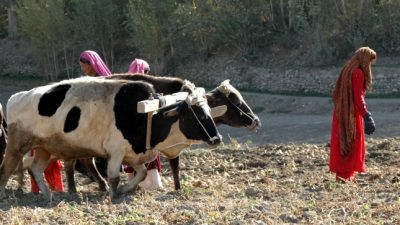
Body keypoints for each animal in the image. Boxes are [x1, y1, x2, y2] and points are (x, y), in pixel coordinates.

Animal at [0, 76, 220, 200]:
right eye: (198, 115)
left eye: (209, 111)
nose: (217, 139)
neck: (148, 113)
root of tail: (16, 96)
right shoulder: (116, 151)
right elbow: (114, 176)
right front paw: (114, 194)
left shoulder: (133, 153)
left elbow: (141, 173)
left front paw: (124, 189)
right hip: (17, 145)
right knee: (7, 168)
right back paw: (4, 193)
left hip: (44, 148)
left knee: (35, 168)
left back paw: (47, 194)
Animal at [69, 74, 260, 191]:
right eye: (235, 100)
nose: (256, 120)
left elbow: (174, 166)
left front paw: (176, 187)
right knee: (84, 160)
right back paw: (99, 184)